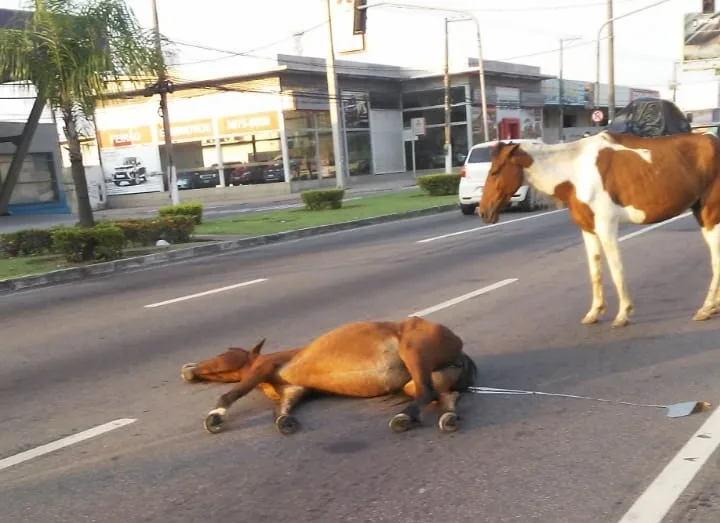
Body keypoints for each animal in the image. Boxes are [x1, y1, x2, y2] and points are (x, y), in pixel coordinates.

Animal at [180, 318, 478, 436]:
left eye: (226, 353)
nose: (187, 370)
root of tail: (460, 350)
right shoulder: (293, 390)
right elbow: (282, 410)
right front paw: (285, 422)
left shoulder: (263, 367)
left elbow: (232, 393)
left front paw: (216, 416)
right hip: (415, 382)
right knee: (445, 395)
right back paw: (447, 417)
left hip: (413, 351)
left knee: (427, 391)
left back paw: (403, 418)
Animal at [480, 131, 720, 328]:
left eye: (495, 171)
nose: (483, 211)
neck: (575, 172)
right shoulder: (589, 230)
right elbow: (595, 271)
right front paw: (595, 311)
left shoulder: (606, 227)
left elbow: (616, 270)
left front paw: (623, 313)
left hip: (710, 216)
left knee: (716, 259)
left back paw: (706, 307)